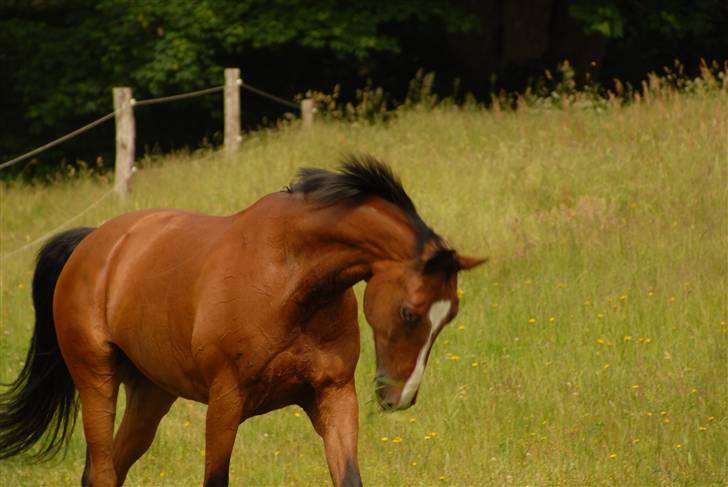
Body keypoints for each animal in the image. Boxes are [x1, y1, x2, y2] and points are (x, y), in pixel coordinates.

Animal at [0, 155, 484, 484]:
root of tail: (93, 243)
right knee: (101, 470)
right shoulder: (225, 402)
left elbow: (347, 476)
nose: (400, 397)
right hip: (97, 380)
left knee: (111, 467)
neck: (290, 277)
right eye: (409, 312)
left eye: (449, 317)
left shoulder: (334, 395)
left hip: (151, 394)